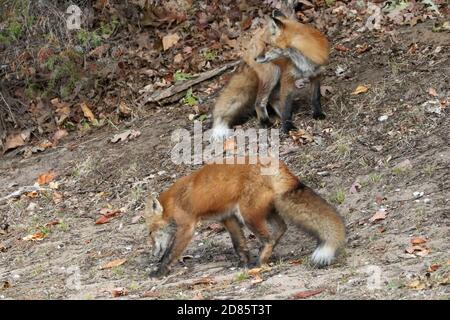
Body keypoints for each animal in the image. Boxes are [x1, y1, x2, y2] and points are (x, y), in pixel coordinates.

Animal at [144, 158, 344, 278]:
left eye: (150, 233)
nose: (152, 254)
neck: (173, 202)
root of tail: (275, 163)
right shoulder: (227, 217)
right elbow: (239, 243)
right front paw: (243, 261)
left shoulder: (187, 227)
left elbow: (170, 253)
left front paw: (159, 271)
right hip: (265, 211)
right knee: (281, 228)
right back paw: (263, 257)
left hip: (248, 215)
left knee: (269, 238)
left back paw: (260, 262)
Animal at [211, 10, 330, 139]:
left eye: (267, 45)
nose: (256, 58)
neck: (303, 60)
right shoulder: (287, 79)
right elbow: (286, 108)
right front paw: (288, 127)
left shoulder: (317, 75)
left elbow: (315, 97)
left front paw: (318, 113)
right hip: (272, 75)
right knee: (259, 101)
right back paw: (265, 122)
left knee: (272, 98)